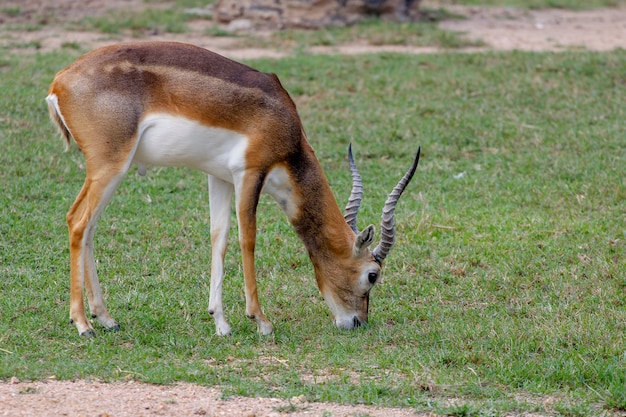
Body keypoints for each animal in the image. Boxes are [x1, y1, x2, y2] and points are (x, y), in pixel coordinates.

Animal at [46, 40, 420, 336]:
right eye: (372, 275)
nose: (358, 322)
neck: (284, 125)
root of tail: (59, 81)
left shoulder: (220, 177)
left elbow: (219, 238)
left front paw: (220, 323)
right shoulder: (250, 173)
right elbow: (247, 239)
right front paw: (261, 321)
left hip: (108, 171)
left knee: (88, 228)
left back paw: (106, 318)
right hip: (110, 166)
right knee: (77, 221)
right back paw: (83, 324)